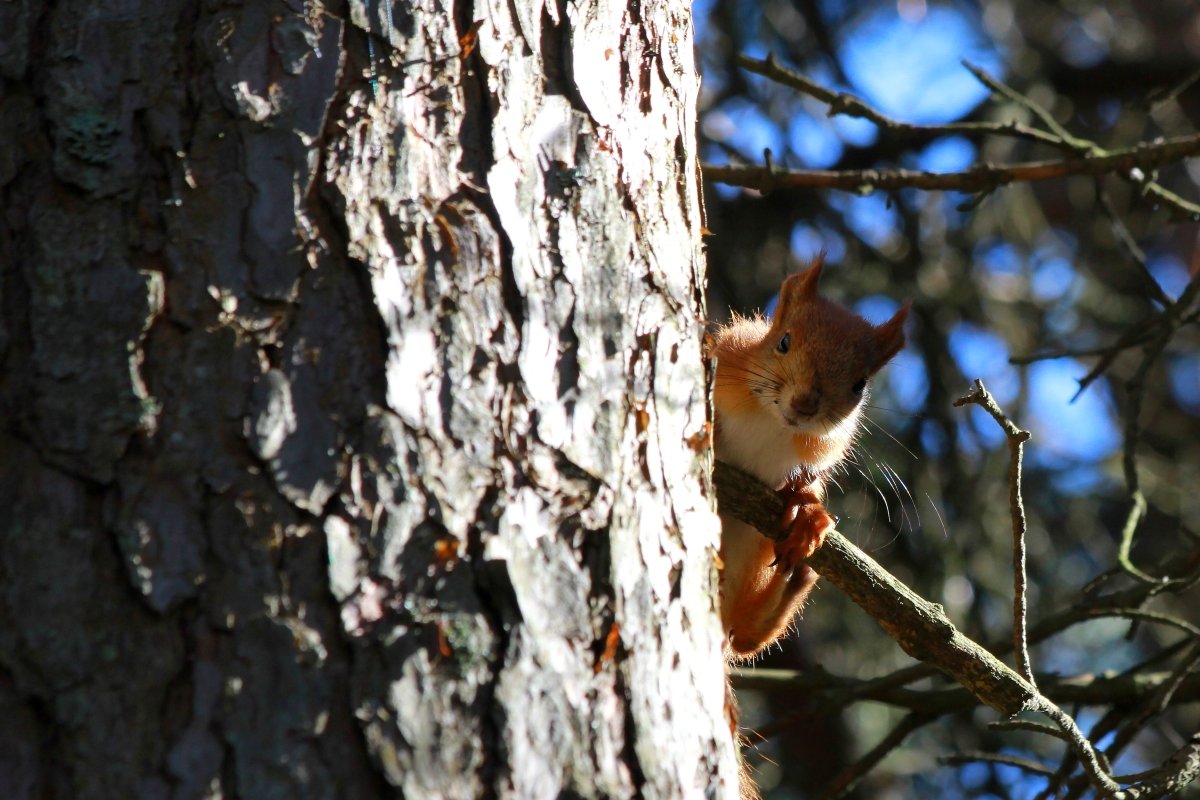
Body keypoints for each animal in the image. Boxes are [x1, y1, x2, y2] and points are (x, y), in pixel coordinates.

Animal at [705, 260, 902, 662]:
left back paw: (799, 561)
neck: (773, 421)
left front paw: (804, 504)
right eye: (783, 342)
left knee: (746, 631)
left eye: (860, 384)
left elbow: (810, 478)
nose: (805, 404)